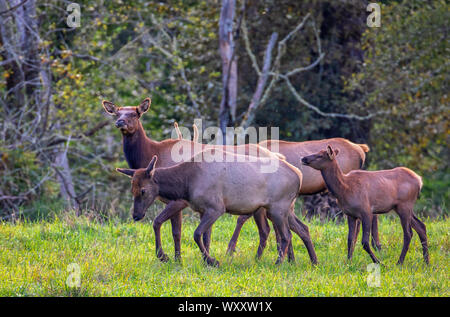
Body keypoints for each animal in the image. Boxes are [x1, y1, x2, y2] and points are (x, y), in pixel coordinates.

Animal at [116, 149, 320, 266]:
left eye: (143, 190)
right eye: (132, 189)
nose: (136, 215)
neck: (186, 183)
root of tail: (299, 175)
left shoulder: (216, 208)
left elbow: (196, 234)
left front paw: (211, 260)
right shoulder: (202, 210)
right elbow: (205, 237)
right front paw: (203, 260)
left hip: (277, 208)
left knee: (286, 235)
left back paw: (278, 263)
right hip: (283, 209)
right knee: (303, 229)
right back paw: (313, 261)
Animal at [300, 144, 428, 262]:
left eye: (320, 155)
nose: (303, 158)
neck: (344, 190)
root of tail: (419, 180)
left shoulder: (366, 211)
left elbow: (364, 242)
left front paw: (379, 262)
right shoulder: (350, 214)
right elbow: (350, 239)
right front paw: (349, 262)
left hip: (404, 205)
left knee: (408, 233)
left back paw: (400, 262)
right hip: (402, 207)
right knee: (421, 226)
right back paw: (426, 261)